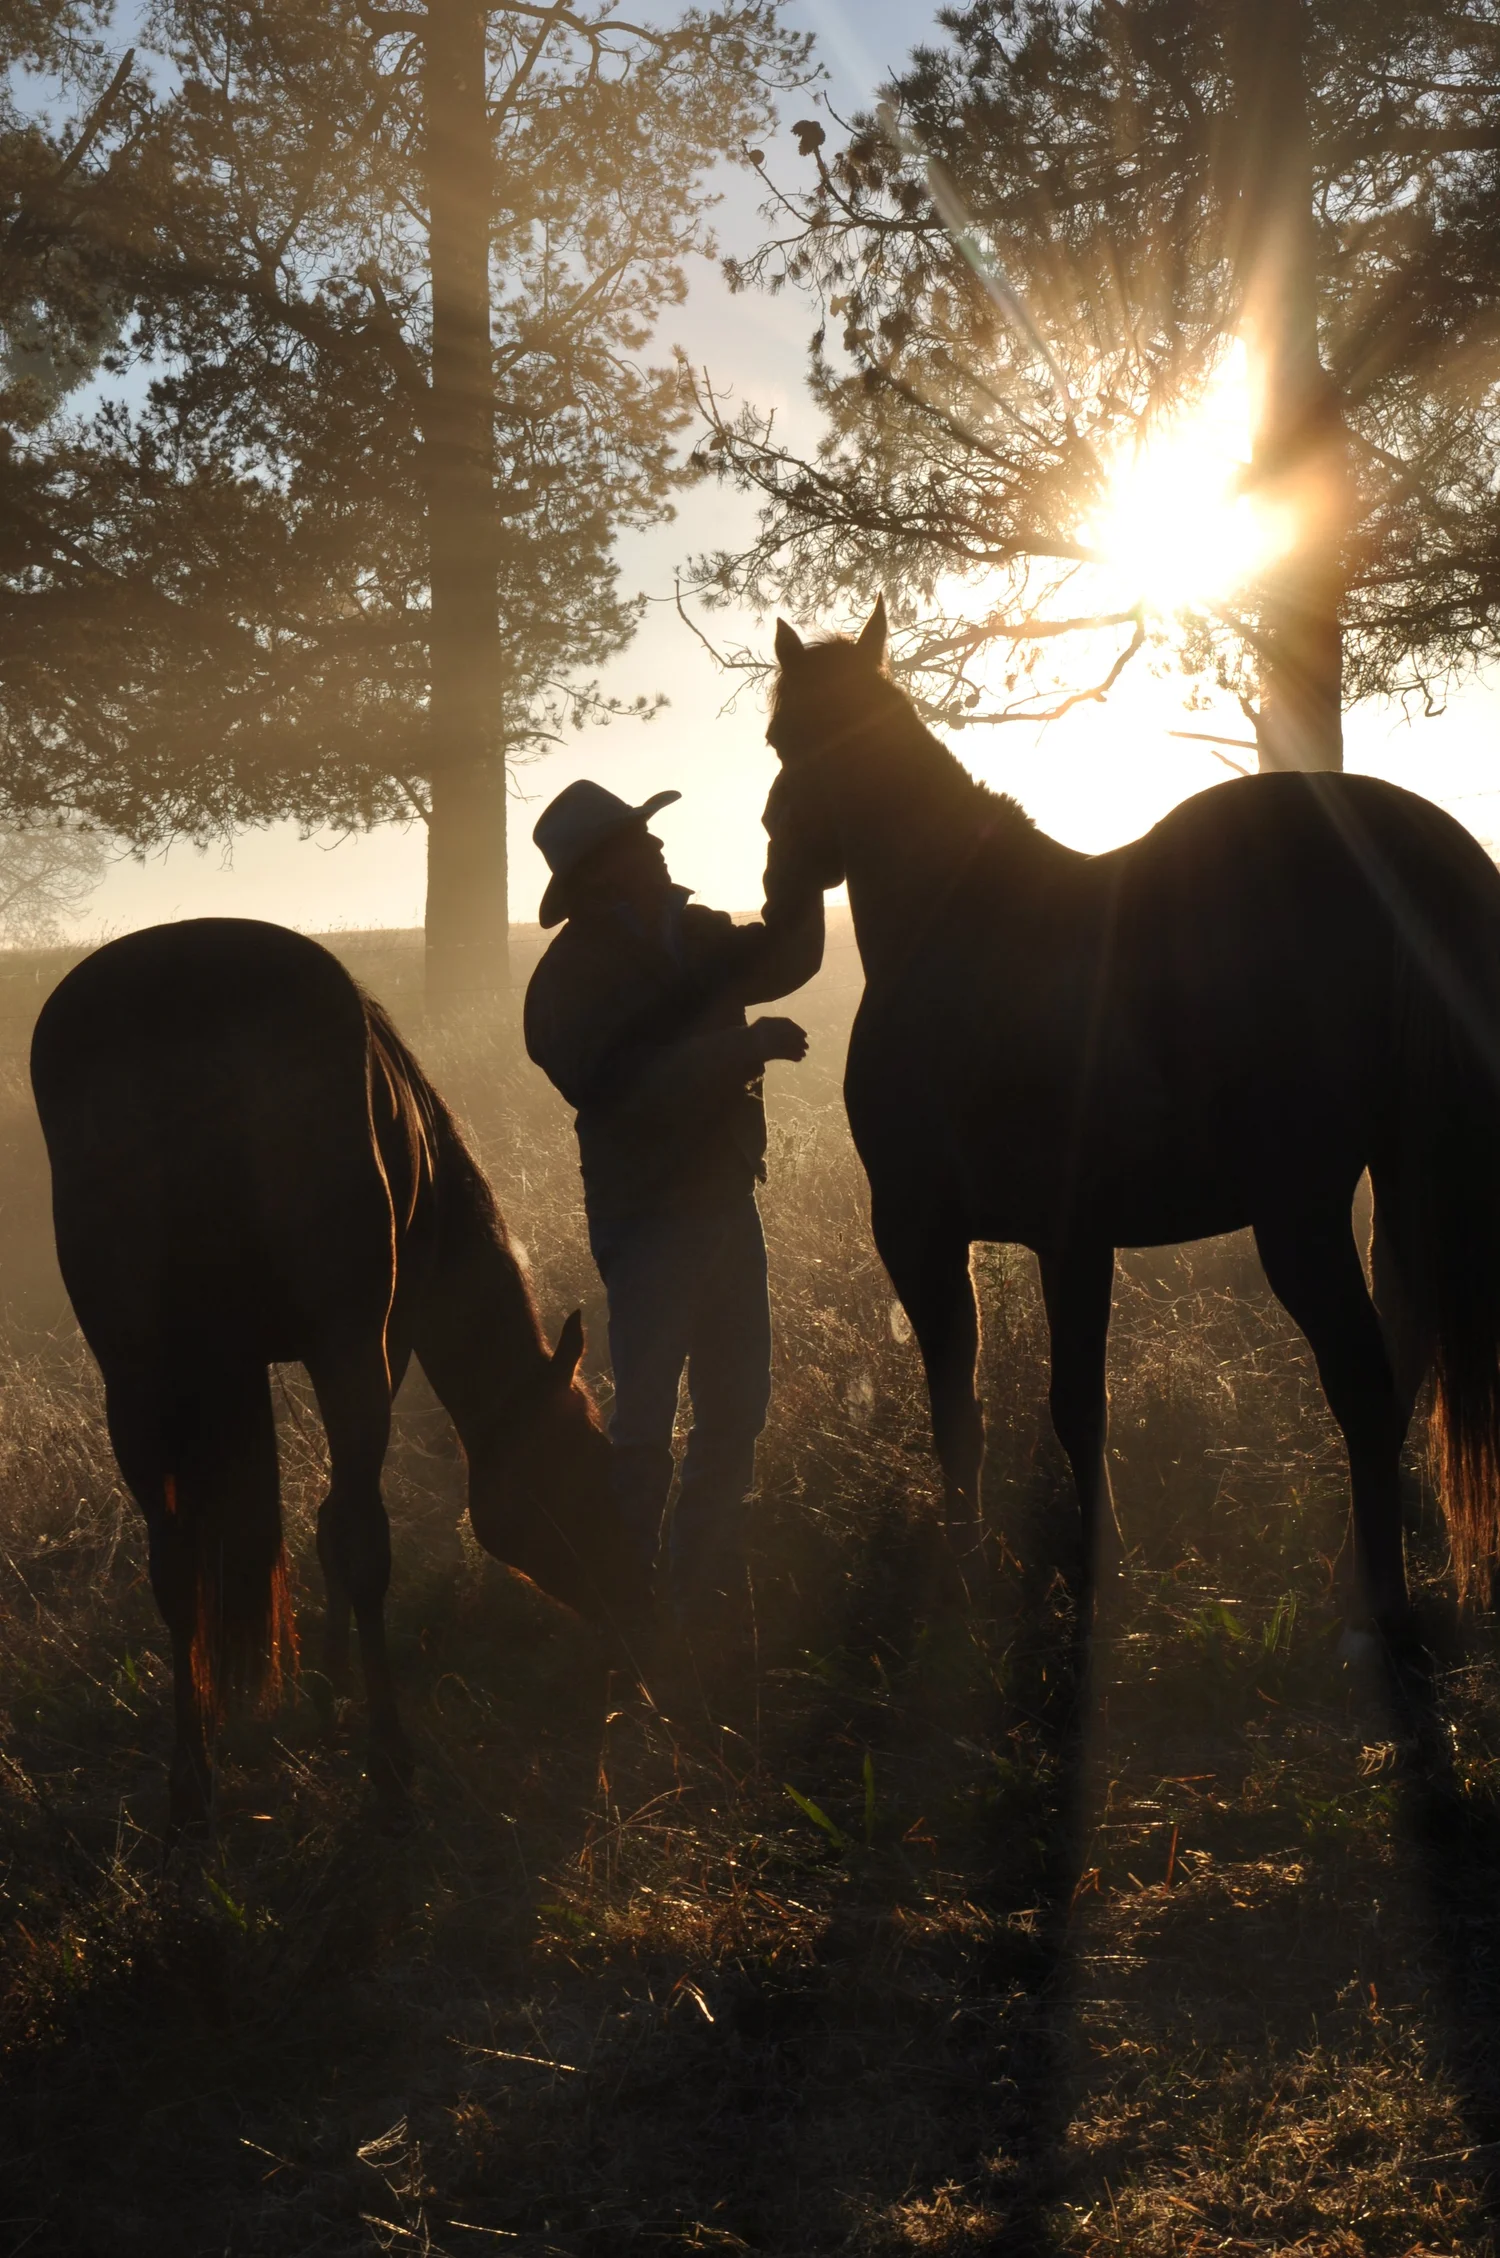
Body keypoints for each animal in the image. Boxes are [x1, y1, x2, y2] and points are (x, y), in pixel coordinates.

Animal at [30, 918, 644, 1823]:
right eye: (588, 1477)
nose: (634, 1608)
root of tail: (182, 983)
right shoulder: (378, 1346)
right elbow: (338, 1527)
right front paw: (331, 1696)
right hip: (342, 1353)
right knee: (358, 1536)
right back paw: (387, 1762)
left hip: (135, 1381)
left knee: (175, 1567)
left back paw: (191, 1780)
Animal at [764, 599, 1500, 1657]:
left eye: (785, 743)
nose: (778, 885)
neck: (962, 923)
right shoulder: (1075, 1240)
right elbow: (1078, 1408)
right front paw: (1089, 1568)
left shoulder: (918, 1228)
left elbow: (961, 1406)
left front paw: (971, 1566)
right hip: (1403, 1185)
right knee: (1402, 1366)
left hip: (1301, 1215)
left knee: (1364, 1382)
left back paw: (1379, 1607)